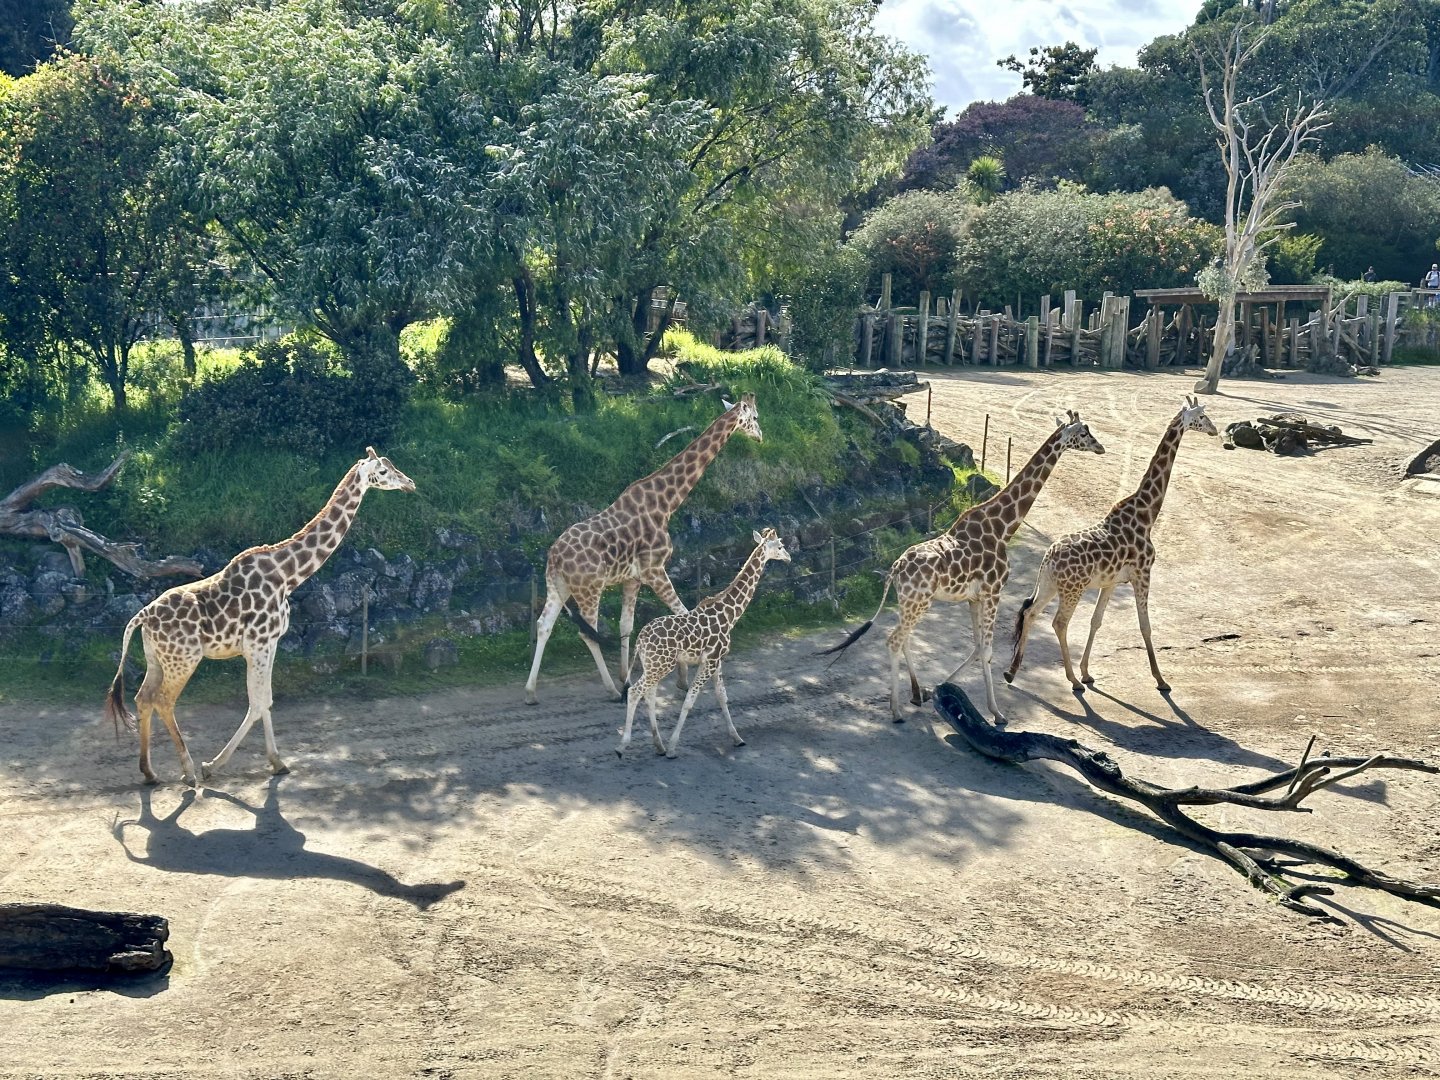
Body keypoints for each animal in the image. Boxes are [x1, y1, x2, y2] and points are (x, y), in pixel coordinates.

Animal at [104, 448, 416, 786]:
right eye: (383, 471)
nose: (410, 483)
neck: (288, 575)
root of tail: (142, 616)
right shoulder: (258, 644)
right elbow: (256, 703)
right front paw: (213, 766)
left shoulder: (270, 643)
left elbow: (265, 699)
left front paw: (277, 762)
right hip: (183, 659)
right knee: (163, 700)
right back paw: (188, 771)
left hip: (156, 658)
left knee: (143, 698)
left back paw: (149, 772)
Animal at [524, 394, 762, 705]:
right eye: (755, 417)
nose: (760, 437)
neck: (666, 504)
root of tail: (553, 556)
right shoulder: (654, 570)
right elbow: (682, 613)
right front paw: (681, 680)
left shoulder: (633, 578)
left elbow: (626, 626)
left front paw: (627, 678)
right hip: (589, 588)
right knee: (587, 634)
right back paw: (611, 691)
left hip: (558, 586)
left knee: (544, 625)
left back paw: (530, 693)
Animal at [617, 527, 790, 758]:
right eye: (780, 546)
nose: (789, 557)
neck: (729, 615)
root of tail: (640, 639)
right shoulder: (710, 661)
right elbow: (689, 701)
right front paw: (673, 747)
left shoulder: (716, 661)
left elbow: (722, 696)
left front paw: (737, 738)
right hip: (661, 665)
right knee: (635, 692)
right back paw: (623, 747)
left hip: (652, 665)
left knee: (649, 695)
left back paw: (658, 745)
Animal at [820, 412, 1105, 723]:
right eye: (1084, 432)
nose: (1101, 447)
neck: (1003, 527)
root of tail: (895, 567)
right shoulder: (994, 592)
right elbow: (988, 649)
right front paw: (997, 713)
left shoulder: (974, 597)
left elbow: (978, 646)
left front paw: (943, 688)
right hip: (918, 602)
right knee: (894, 640)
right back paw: (896, 710)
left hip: (909, 602)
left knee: (904, 639)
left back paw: (917, 693)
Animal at [1005, 396, 1218, 693]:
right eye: (1202, 416)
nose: (1215, 430)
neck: (1147, 513)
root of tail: (1049, 557)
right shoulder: (1143, 574)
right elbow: (1145, 626)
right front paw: (1160, 679)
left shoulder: (1112, 582)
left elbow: (1096, 621)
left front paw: (1087, 672)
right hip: (1073, 589)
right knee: (1059, 623)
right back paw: (1071, 681)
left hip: (1049, 585)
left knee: (1031, 612)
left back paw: (1012, 673)